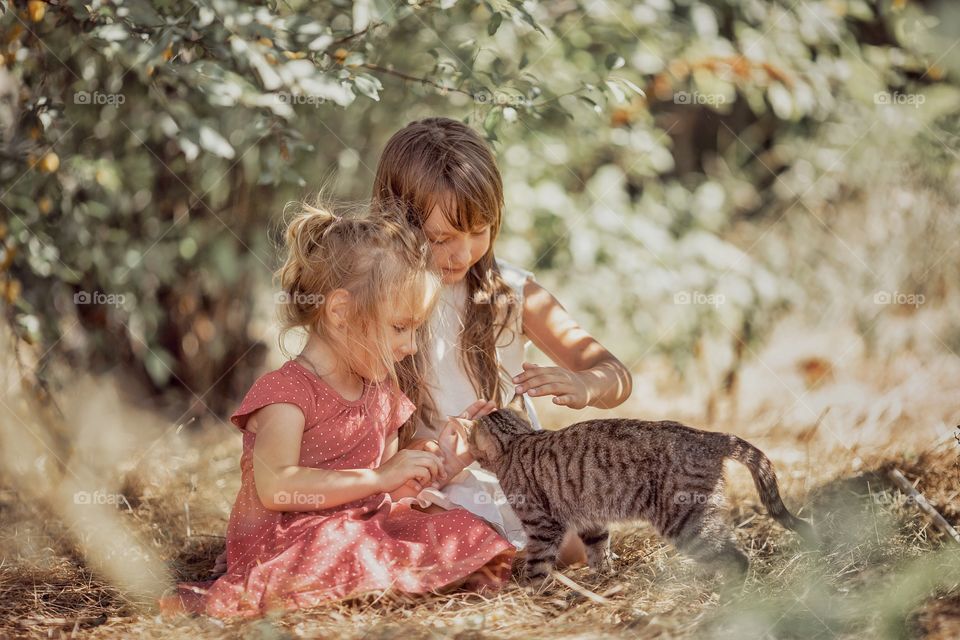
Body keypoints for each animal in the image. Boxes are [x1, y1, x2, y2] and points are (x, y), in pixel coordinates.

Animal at [462, 398, 812, 588]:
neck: (518, 441)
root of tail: (707, 436)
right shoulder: (590, 519)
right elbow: (599, 551)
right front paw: (604, 578)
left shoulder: (543, 526)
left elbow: (537, 563)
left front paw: (532, 591)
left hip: (685, 521)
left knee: (737, 557)